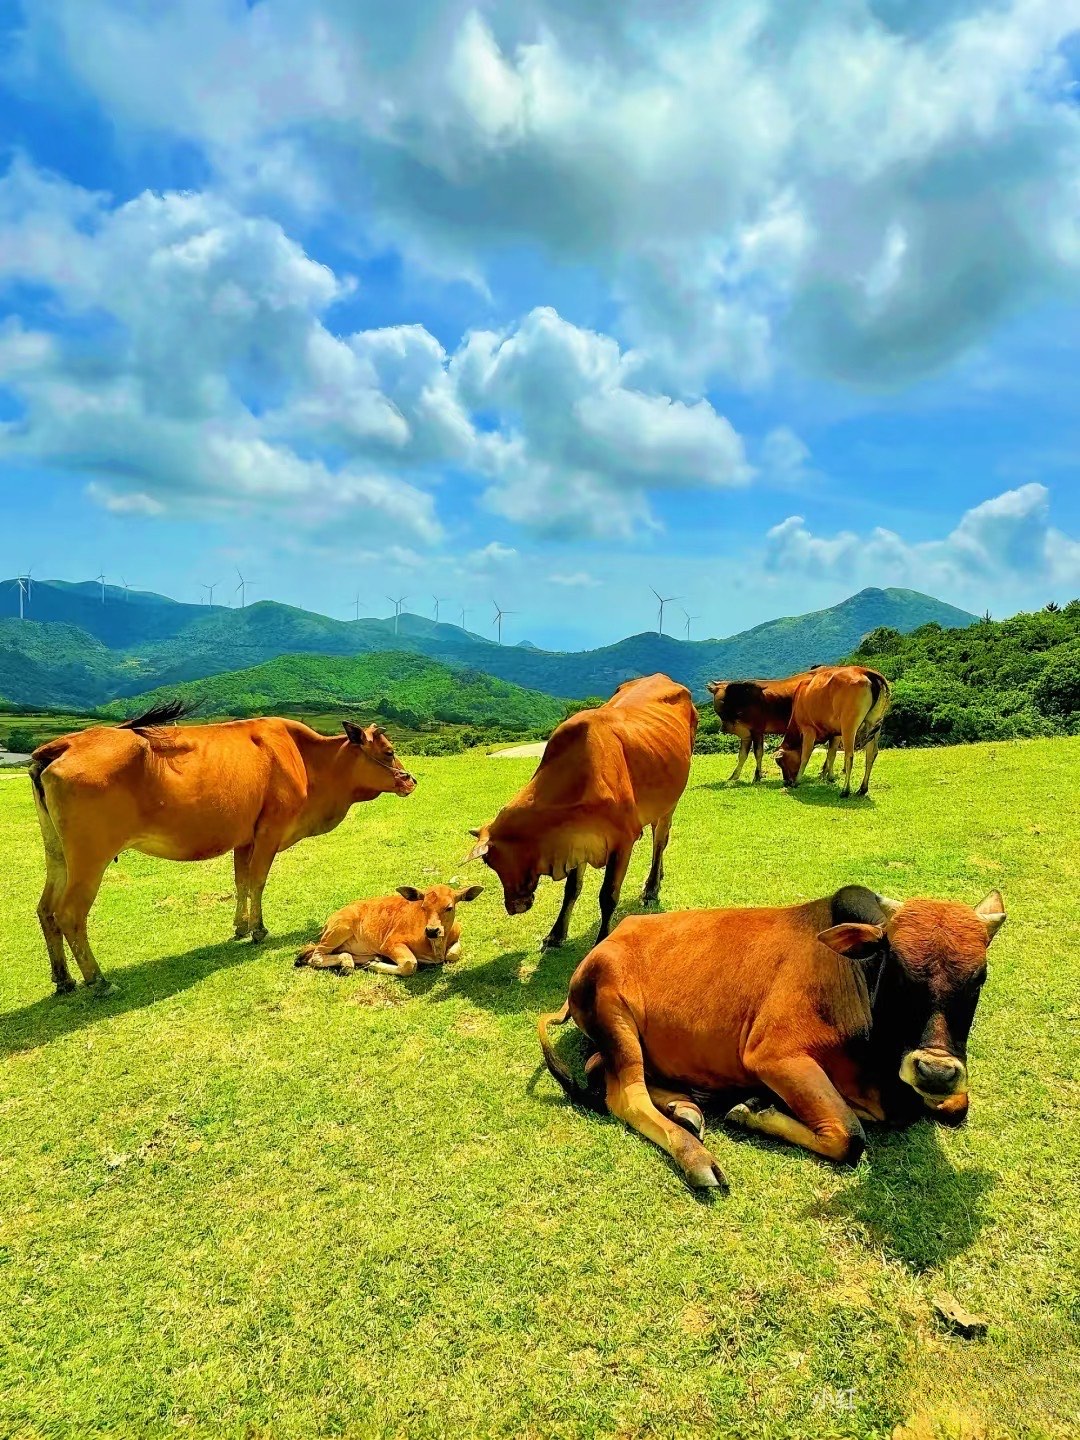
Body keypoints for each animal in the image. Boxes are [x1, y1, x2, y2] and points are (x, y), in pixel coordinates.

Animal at [28, 702, 417, 996]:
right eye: (389, 751)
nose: (411, 779)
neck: (307, 761)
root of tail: (62, 745)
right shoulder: (270, 831)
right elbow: (257, 881)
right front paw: (258, 930)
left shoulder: (244, 838)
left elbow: (240, 882)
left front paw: (240, 927)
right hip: (89, 857)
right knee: (69, 914)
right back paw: (98, 980)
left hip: (57, 853)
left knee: (45, 909)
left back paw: (63, 979)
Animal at [296, 875, 480, 979]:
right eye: (423, 907)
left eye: (449, 907)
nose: (432, 930)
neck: (435, 948)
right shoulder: (390, 943)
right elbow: (409, 964)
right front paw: (374, 966)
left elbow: (453, 954)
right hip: (339, 929)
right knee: (315, 957)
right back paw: (349, 963)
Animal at [466, 671, 702, 950]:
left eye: (491, 861)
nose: (514, 906)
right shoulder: (576, 842)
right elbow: (571, 890)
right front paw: (556, 933)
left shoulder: (622, 842)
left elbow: (608, 895)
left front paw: (601, 940)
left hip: (670, 802)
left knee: (660, 841)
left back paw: (652, 887)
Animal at [541, 887, 1008, 1192]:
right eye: (896, 968)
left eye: (980, 977)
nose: (935, 1071)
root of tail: (609, 939)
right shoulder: (773, 1056)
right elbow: (850, 1136)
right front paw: (754, 1112)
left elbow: (958, 1106)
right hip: (615, 1016)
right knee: (625, 1096)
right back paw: (696, 1155)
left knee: (598, 1069)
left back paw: (685, 1107)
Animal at [777, 665, 898, 800]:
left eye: (781, 763)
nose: (786, 781)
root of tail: (865, 671)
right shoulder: (835, 733)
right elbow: (831, 754)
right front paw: (829, 776)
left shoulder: (808, 729)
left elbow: (805, 756)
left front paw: (797, 781)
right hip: (874, 723)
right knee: (871, 754)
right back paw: (862, 789)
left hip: (849, 725)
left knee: (849, 755)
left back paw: (845, 791)